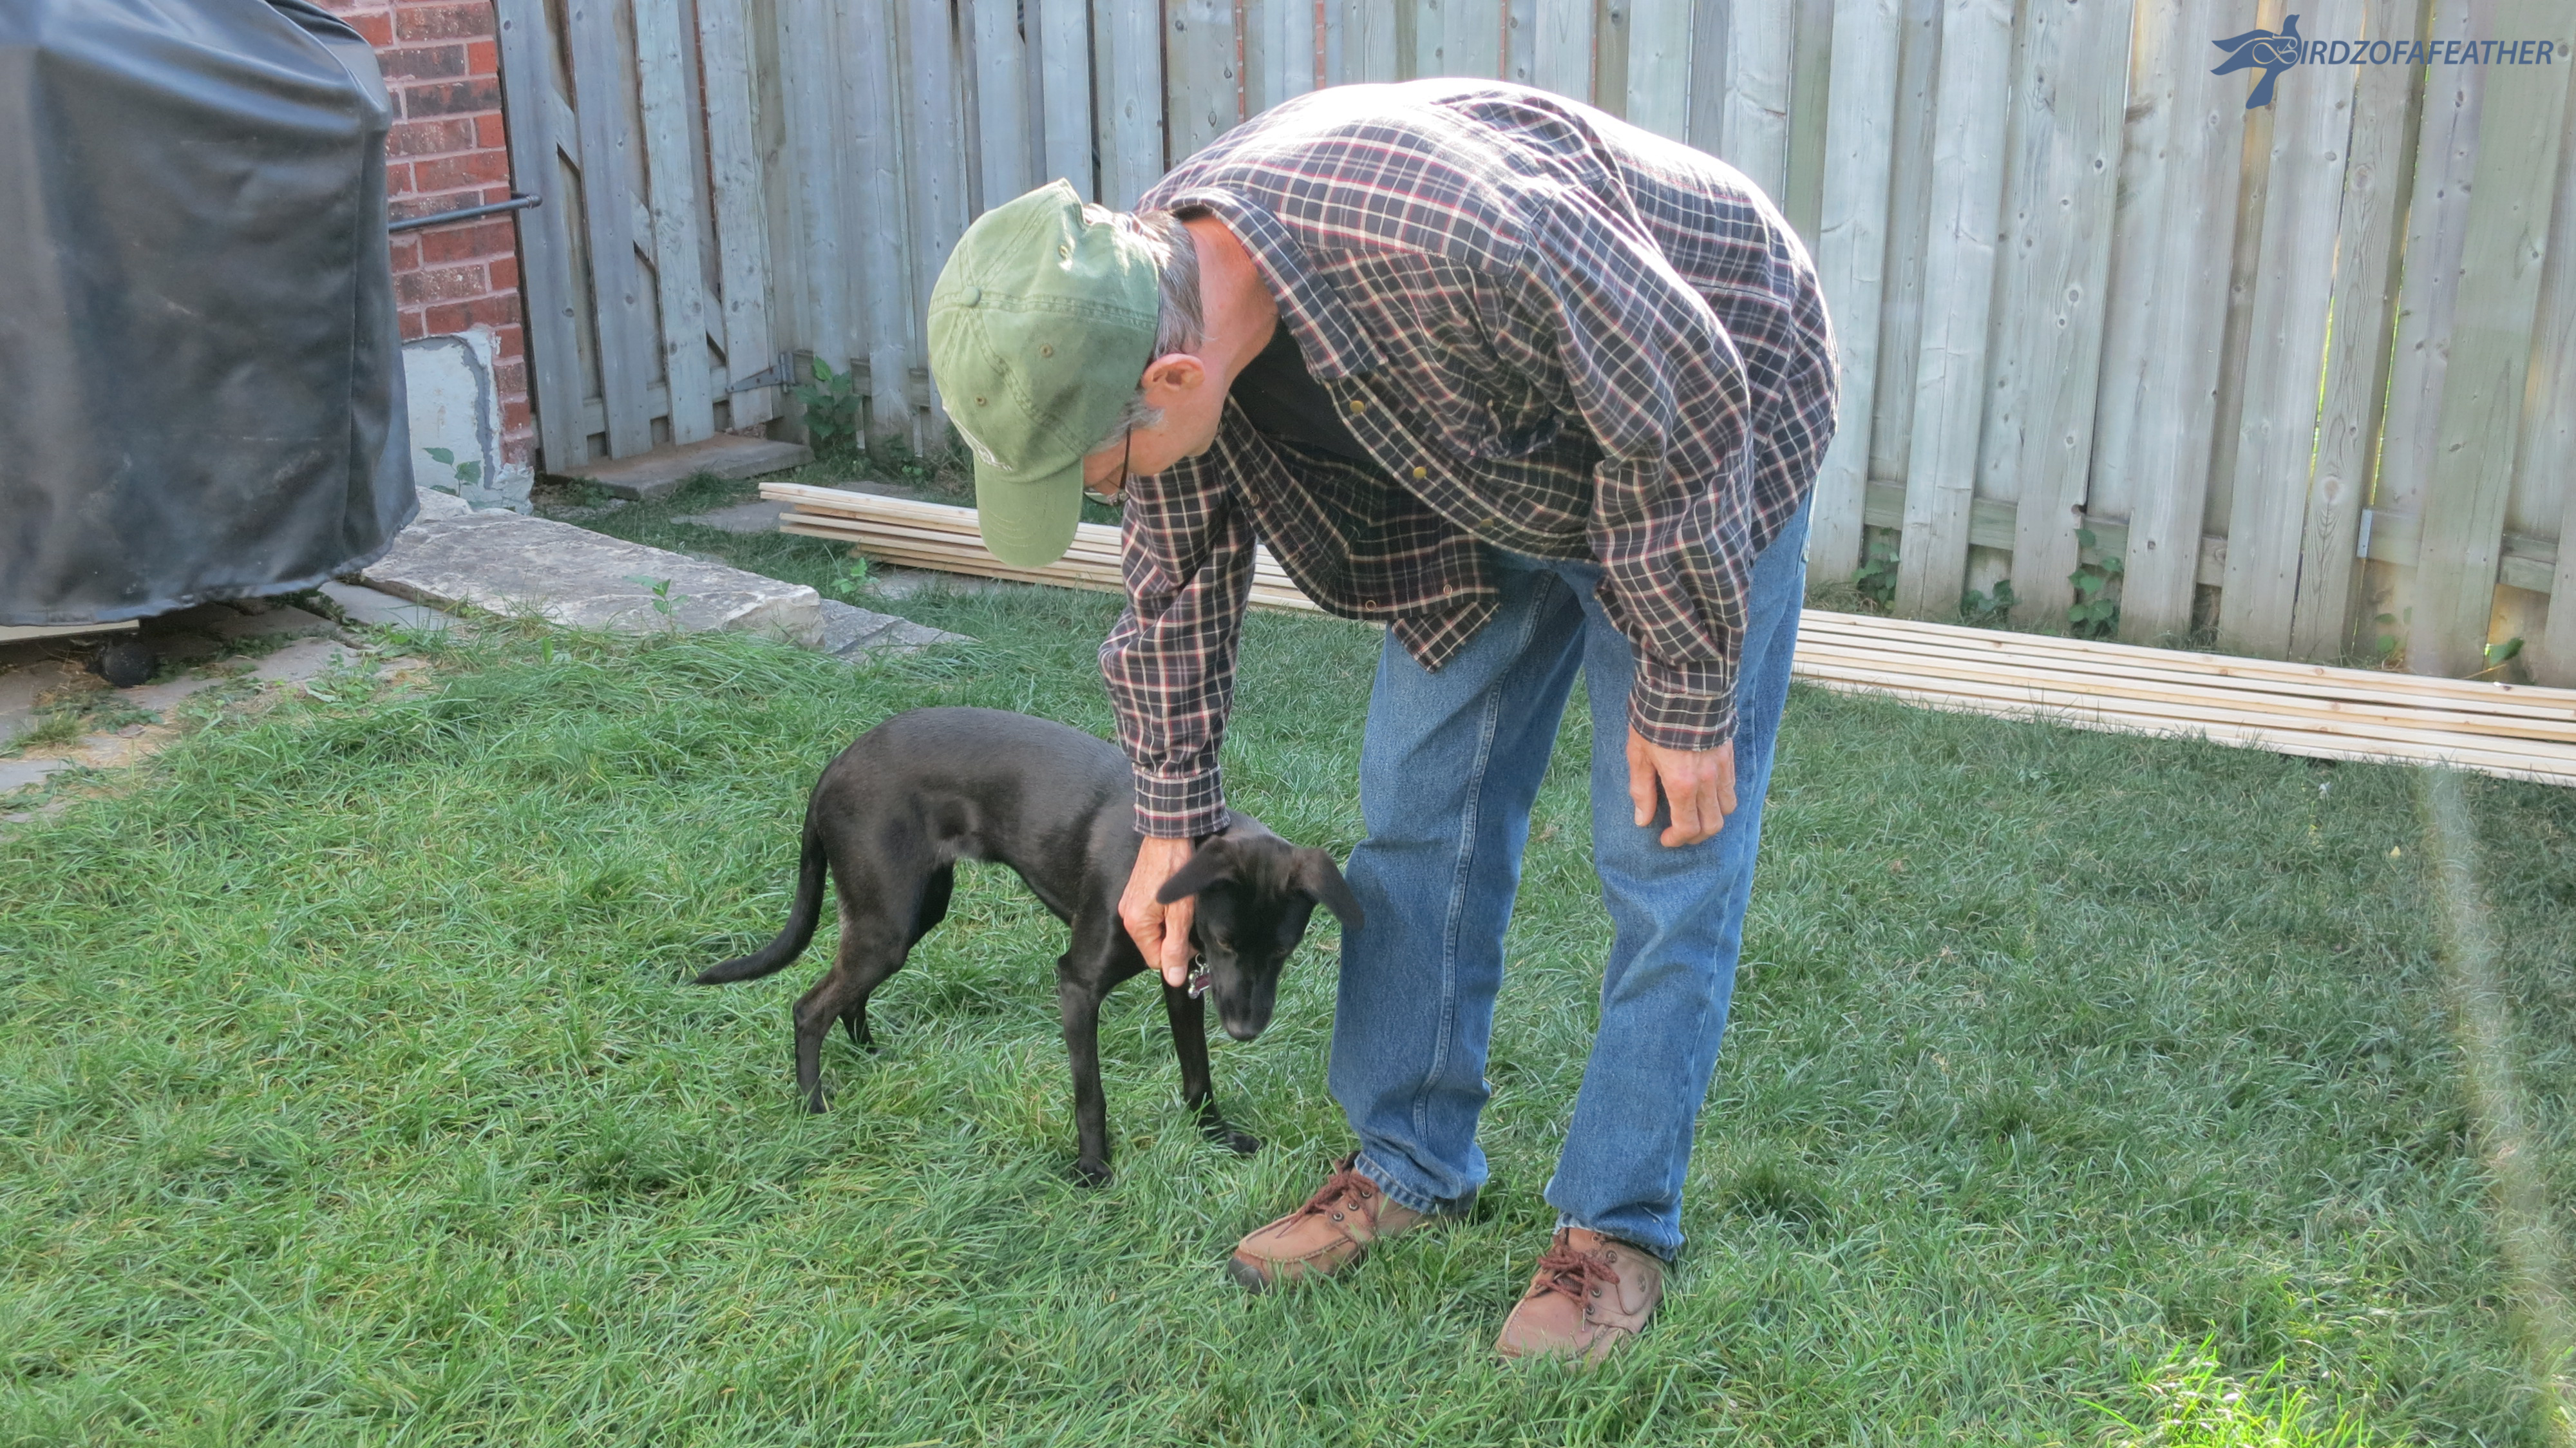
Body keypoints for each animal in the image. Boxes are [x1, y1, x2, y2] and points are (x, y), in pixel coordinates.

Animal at [690, 701, 1370, 1185]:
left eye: (1282, 953)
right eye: (1227, 941)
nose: (1246, 1032)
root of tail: (836, 765)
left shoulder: (1183, 982)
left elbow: (1198, 1072)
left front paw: (1215, 1135)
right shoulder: (1078, 982)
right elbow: (1091, 1092)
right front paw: (1093, 1168)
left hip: (910, 913)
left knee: (849, 993)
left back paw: (869, 1054)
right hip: (888, 920)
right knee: (810, 1008)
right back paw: (814, 1107)